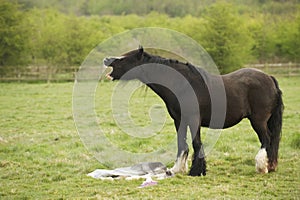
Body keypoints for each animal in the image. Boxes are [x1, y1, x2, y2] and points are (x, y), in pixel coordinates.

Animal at [103, 46, 284, 176]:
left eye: (125, 57)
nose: (106, 59)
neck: (182, 85)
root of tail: (269, 78)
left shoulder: (193, 119)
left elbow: (196, 143)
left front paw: (196, 171)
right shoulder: (179, 120)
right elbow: (181, 143)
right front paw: (177, 169)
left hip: (258, 120)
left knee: (267, 139)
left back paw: (262, 167)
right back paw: (270, 166)